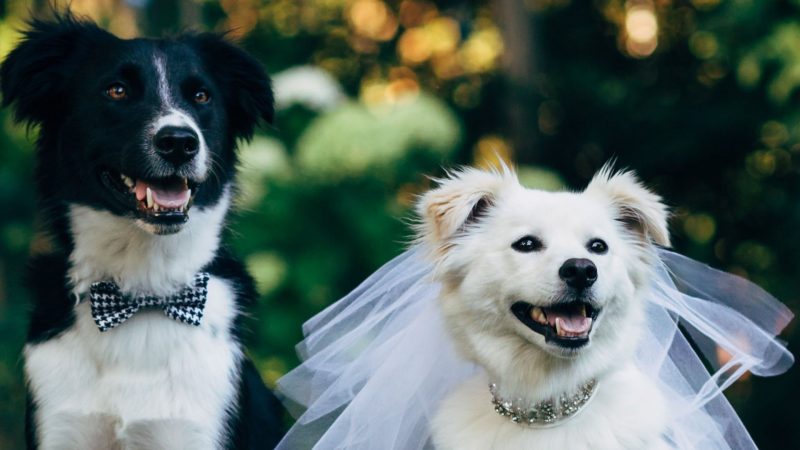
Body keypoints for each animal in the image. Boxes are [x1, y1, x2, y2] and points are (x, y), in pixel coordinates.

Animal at [1, 12, 284, 448]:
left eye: (201, 96)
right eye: (117, 90)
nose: (179, 142)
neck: (143, 289)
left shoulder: (192, 430)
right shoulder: (62, 425)